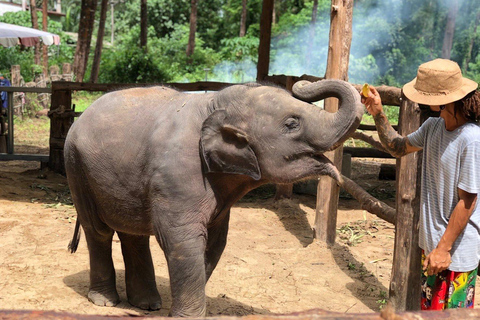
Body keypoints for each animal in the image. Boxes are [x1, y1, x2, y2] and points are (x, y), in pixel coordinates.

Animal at [64, 79, 364, 316]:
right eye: (292, 124)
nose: (302, 83)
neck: (214, 102)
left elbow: (217, 241)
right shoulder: (175, 176)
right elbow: (183, 241)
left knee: (133, 234)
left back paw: (147, 305)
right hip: (76, 167)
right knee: (98, 231)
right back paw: (105, 302)